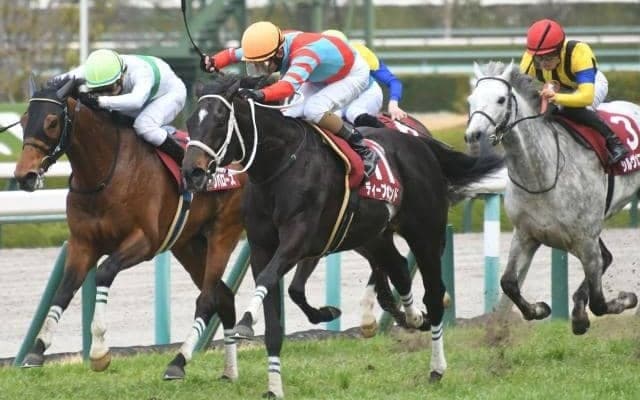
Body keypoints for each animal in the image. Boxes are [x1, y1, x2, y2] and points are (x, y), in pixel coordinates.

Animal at [14, 77, 245, 381]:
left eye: (51, 121)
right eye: (23, 120)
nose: (24, 175)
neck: (103, 174)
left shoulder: (144, 242)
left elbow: (104, 272)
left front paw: (99, 351)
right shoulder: (82, 243)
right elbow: (65, 288)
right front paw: (37, 351)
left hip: (223, 233)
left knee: (208, 298)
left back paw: (179, 362)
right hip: (189, 245)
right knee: (224, 297)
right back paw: (229, 372)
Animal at [182, 73, 504, 398]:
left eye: (220, 120)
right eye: (190, 122)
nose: (192, 172)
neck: (280, 164)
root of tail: (420, 143)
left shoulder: (298, 238)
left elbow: (268, 279)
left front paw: (247, 320)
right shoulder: (263, 246)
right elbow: (274, 311)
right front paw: (274, 386)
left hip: (425, 233)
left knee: (434, 294)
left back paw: (436, 367)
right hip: (375, 235)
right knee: (399, 267)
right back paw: (412, 317)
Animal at [465, 61, 639, 334]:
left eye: (501, 99)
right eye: (471, 99)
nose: (475, 137)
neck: (540, 175)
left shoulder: (586, 239)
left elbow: (599, 303)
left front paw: (625, 299)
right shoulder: (526, 234)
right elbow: (509, 283)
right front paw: (540, 309)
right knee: (607, 257)